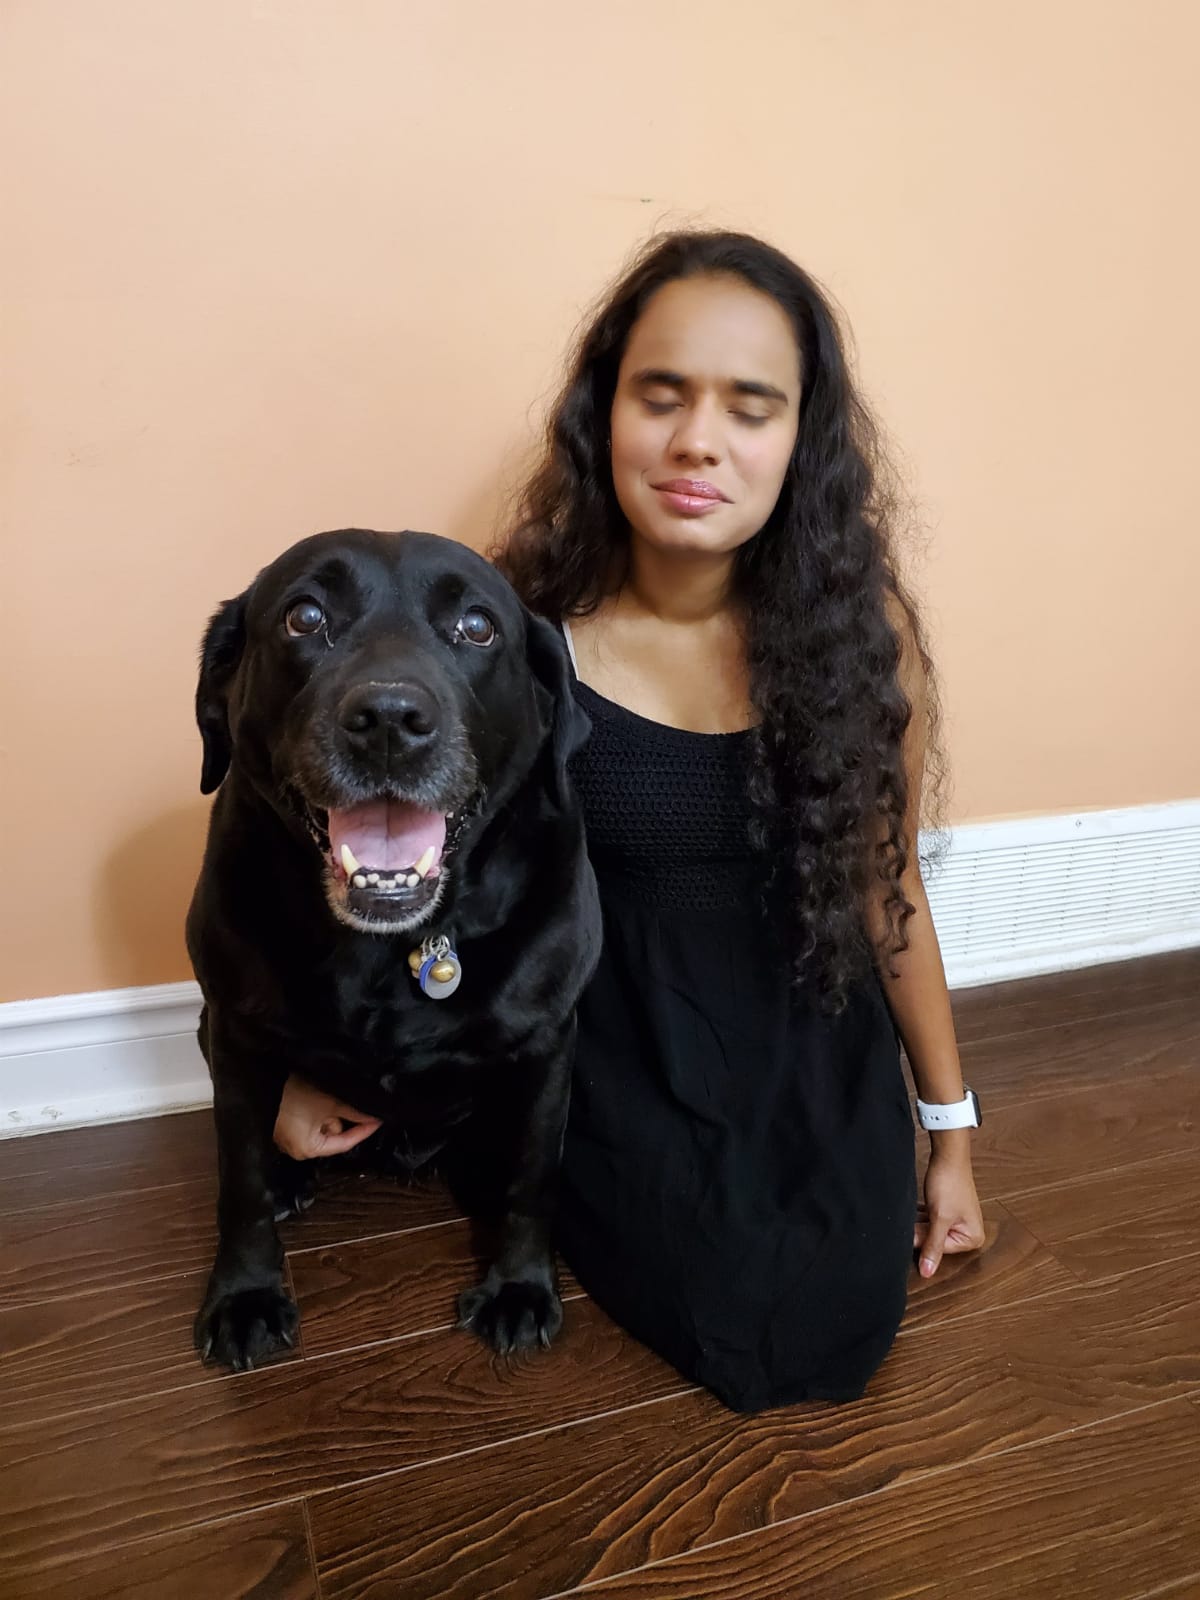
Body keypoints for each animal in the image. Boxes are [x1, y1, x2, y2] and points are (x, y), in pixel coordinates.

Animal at [188, 531, 601, 1369]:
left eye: (477, 626)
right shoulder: (236, 1030)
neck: (393, 944)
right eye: (305, 616)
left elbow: (535, 1176)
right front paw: (245, 1295)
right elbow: (238, 1176)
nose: (387, 717)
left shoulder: (549, 1041)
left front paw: (518, 1287)